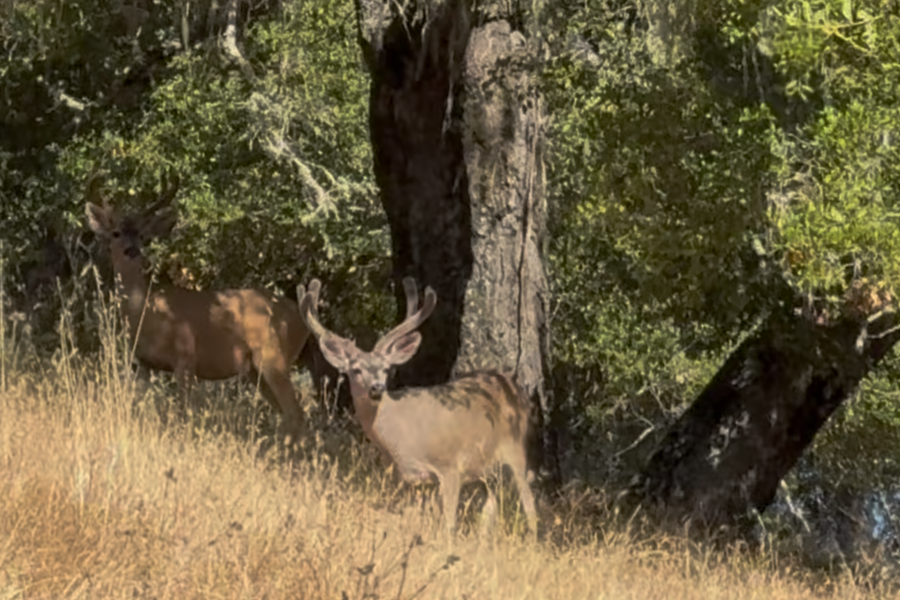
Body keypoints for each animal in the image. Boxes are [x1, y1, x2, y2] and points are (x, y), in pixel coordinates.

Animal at [85, 173, 314, 444]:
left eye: (142, 235)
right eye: (116, 233)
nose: (132, 251)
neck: (146, 311)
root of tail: (302, 318)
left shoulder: (186, 358)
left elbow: (181, 415)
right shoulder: (142, 364)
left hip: (274, 358)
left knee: (297, 414)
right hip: (256, 372)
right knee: (289, 416)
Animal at [298, 277, 538, 537]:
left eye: (386, 368)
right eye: (356, 370)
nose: (376, 387)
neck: (402, 436)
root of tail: (514, 386)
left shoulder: (450, 466)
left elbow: (448, 526)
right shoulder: (408, 478)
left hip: (516, 450)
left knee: (530, 505)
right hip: (487, 470)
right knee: (490, 507)